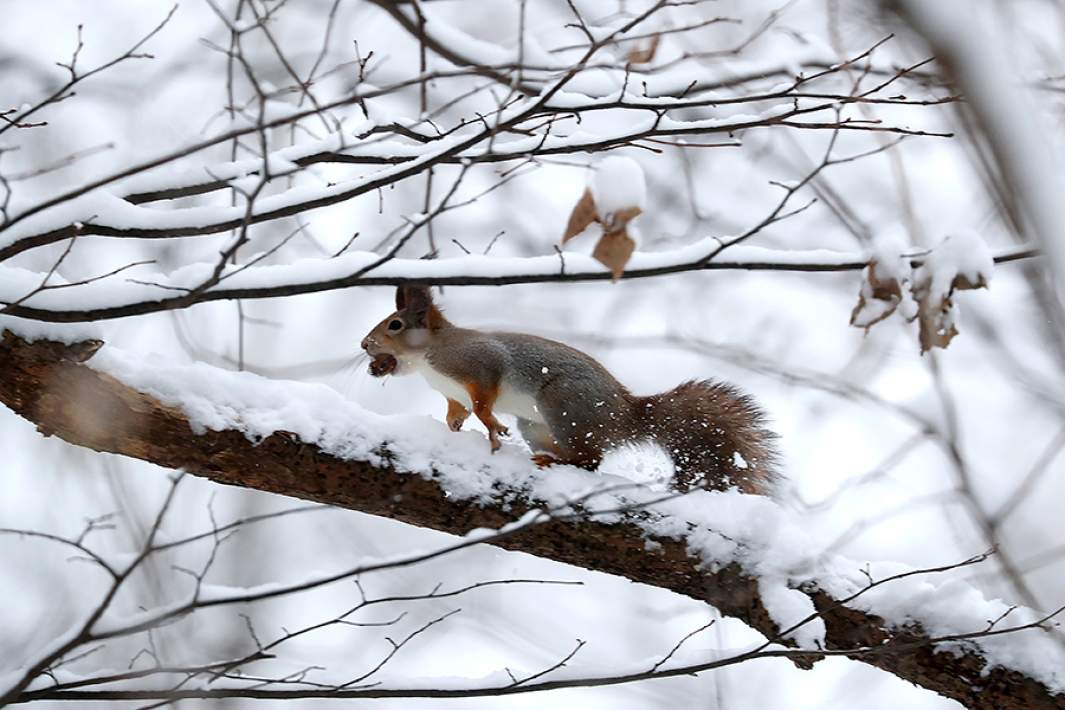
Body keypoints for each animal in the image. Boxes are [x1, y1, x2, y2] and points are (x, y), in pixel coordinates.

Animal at [362, 285, 779, 498]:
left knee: (592, 459)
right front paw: (454, 429)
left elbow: (484, 399)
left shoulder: (478, 364)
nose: (365, 345)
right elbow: (458, 411)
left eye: (395, 325)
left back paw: (554, 462)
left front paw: (490, 424)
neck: (428, 360)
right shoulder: (454, 393)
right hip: (537, 426)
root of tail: (625, 416)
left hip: (563, 403)